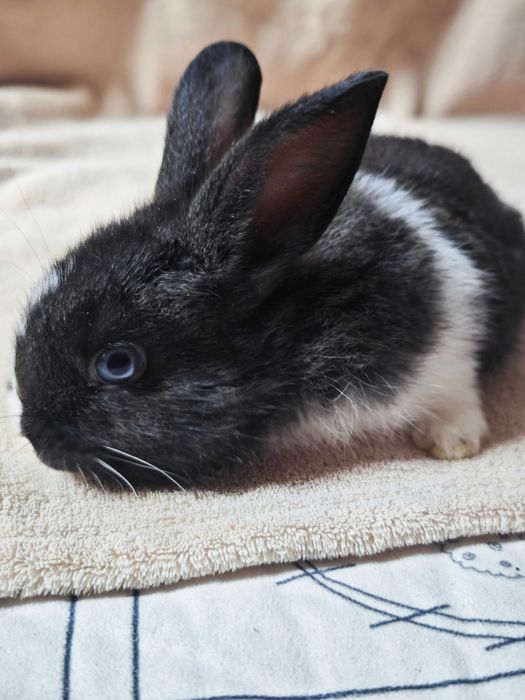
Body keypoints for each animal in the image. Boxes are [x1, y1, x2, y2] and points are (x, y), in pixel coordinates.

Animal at [8, 41, 525, 489]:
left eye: (118, 364)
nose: (39, 443)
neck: (296, 317)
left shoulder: (451, 343)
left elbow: (455, 387)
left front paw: (452, 441)